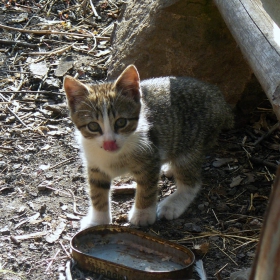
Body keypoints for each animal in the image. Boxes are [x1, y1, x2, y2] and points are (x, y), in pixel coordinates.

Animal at [64, 65, 234, 230]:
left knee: (191, 181)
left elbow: (147, 188)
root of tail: (217, 96)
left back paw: (172, 204)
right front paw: (98, 221)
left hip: (192, 142)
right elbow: (97, 191)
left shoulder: (149, 157)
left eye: (121, 122)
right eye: (93, 126)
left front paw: (143, 215)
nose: (109, 143)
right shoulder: (95, 165)